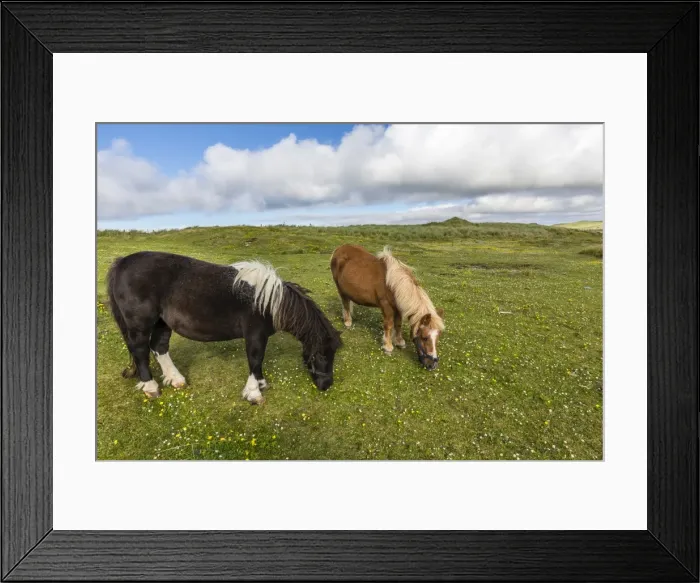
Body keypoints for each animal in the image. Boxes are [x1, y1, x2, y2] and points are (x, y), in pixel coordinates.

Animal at [106, 251, 342, 404]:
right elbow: (255, 360)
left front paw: (260, 383)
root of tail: (122, 262)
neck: (269, 301)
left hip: (162, 322)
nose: (326, 384)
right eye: (322, 354)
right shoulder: (255, 335)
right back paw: (151, 387)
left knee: (159, 347)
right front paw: (254, 392)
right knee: (140, 351)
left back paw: (176, 379)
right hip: (141, 324)